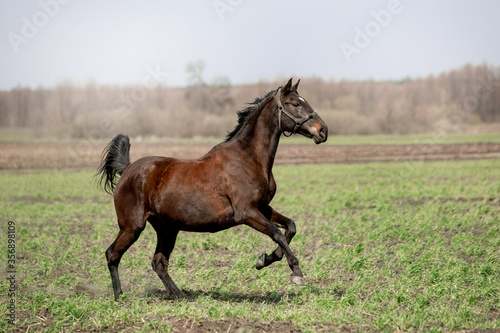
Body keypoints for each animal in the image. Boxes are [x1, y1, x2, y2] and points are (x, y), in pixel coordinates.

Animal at [96, 77, 328, 298]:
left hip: (167, 229)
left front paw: (266, 259)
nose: (323, 130)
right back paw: (119, 296)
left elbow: (290, 227)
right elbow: (277, 233)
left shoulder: (262, 207)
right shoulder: (246, 212)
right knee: (112, 254)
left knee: (158, 262)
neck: (248, 159)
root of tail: (127, 169)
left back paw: (179, 295)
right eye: (295, 104)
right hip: (132, 226)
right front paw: (296, 273)